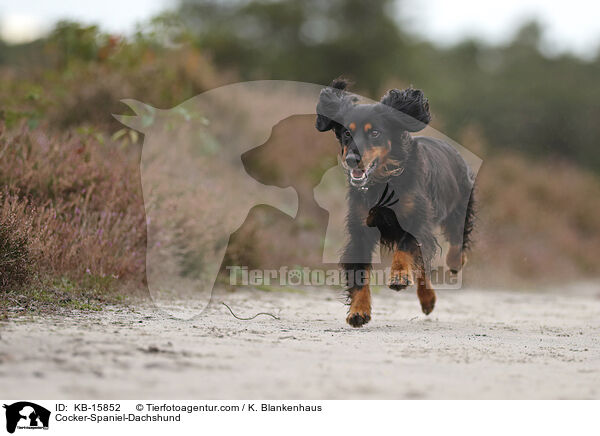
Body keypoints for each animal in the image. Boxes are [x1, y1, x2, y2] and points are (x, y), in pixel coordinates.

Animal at [316, 80, 476, 328]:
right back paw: (427, 299)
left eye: (375, 132)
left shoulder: (417, 220)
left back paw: (454, 262)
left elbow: (405, 249)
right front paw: (359, 310)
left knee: (456, 240)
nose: (352, 159)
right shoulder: (360, 231)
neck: (383, 183)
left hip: (458, 207)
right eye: (347, 132)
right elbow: (360, 271)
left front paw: (399, 276)